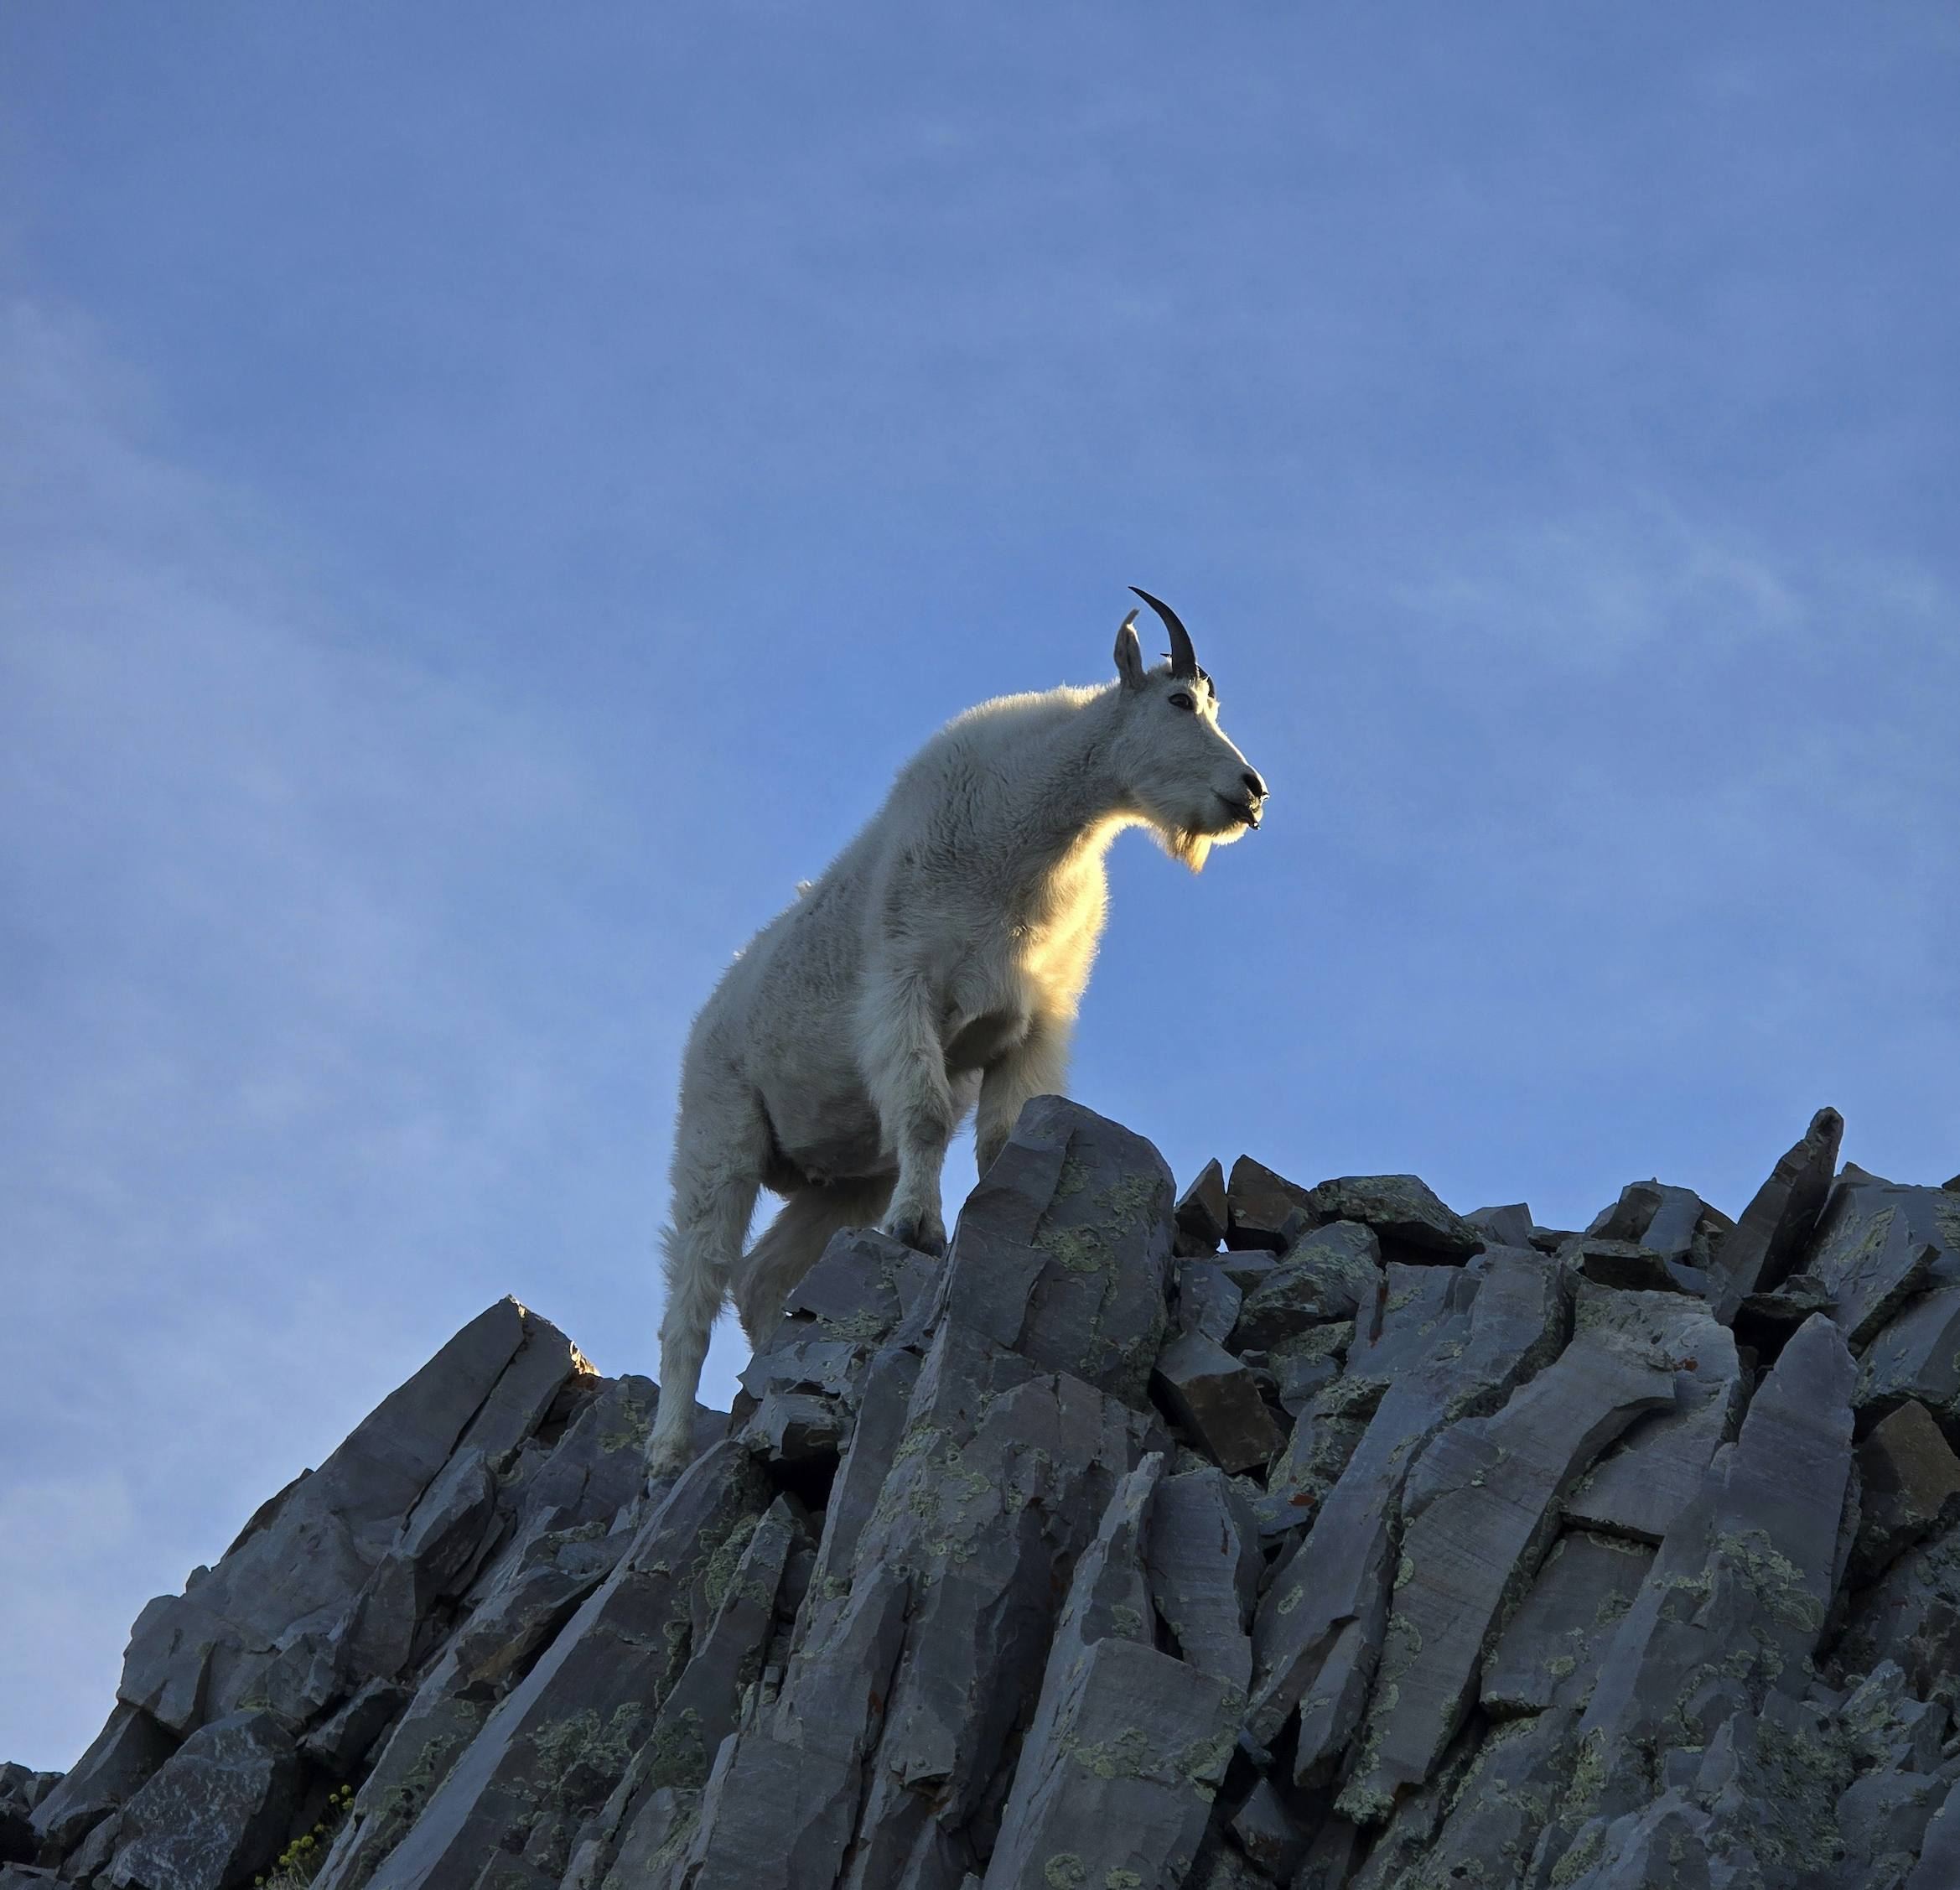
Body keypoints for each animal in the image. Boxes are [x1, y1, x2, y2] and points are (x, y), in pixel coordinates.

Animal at [643, 591, 1267, 1478]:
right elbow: (930, 1115)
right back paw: (667, 1450)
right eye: (1180, 702)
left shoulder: (1030, 1030)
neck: (1029, 841)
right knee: (694, 1291)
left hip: (842, 1179)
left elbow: (999, 1139)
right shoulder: (907, 991)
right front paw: (919, 1230)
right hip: (717, 1132)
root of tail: (705, 1023)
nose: (1252, 793)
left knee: (764, 1277)